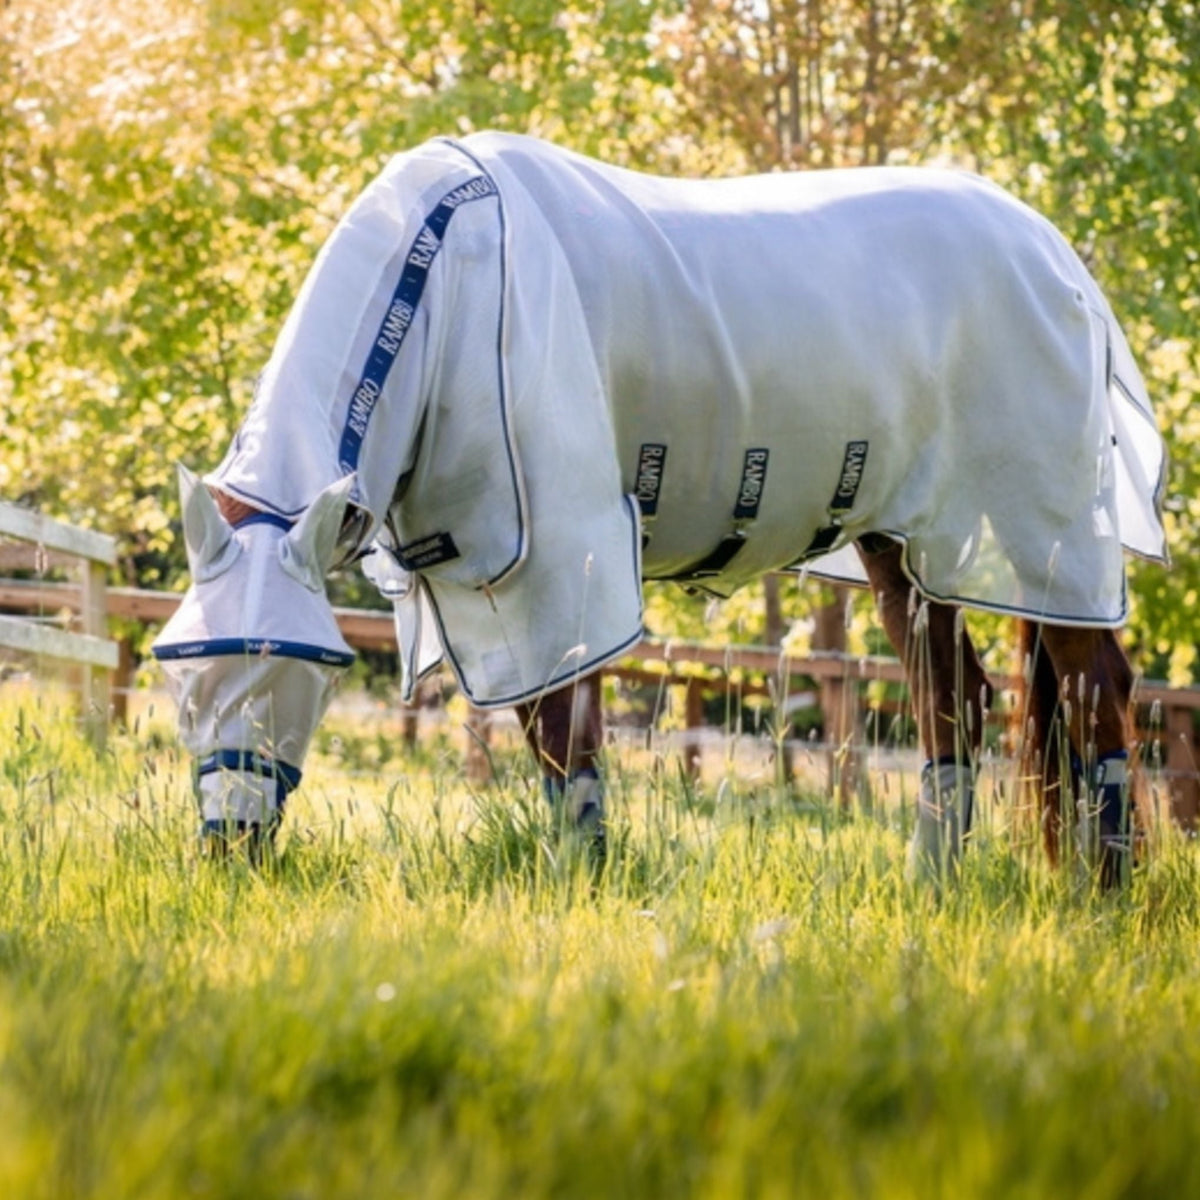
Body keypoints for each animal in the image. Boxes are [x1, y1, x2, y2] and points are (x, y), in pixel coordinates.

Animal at [152, 132, 1166, 885]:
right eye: (182, 670)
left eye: (301, 669)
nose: (227, 852)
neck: (449, 283)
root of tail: (1056, 256)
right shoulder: (490, 574)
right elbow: (550, 739)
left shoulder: (557, 557)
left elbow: (566, 739)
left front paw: (585, 889)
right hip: (905, 545)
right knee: (953, 699)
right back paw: (934, 887)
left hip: (1046, 535)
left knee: (1098, 694)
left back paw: (1102, 894)